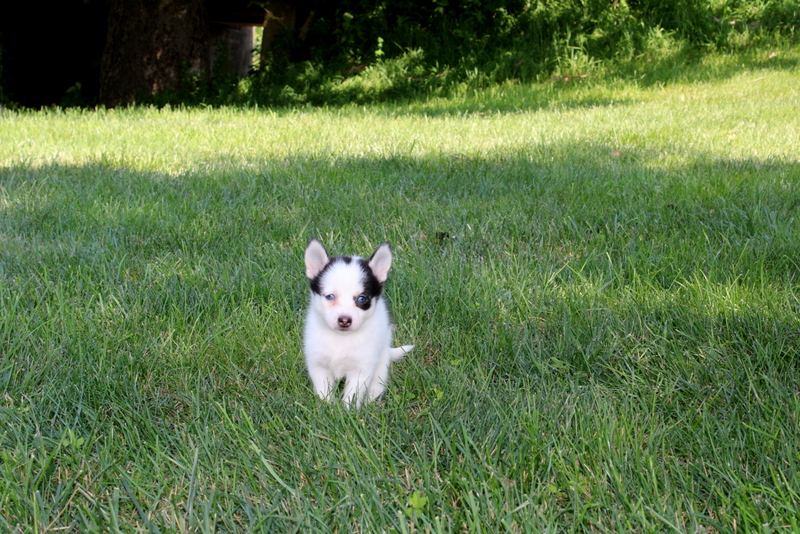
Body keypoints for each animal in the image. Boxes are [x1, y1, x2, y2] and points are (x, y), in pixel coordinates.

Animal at [302, 240, 412, 410]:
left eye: (362, 299)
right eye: (330, 296)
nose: (344, 320)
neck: (341, 339)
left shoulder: (360, 370)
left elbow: (352, 396)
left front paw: (347, 412)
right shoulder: (318, 365)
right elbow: (324, 392)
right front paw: (327, 409)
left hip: (381, 359)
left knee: (377, 383)